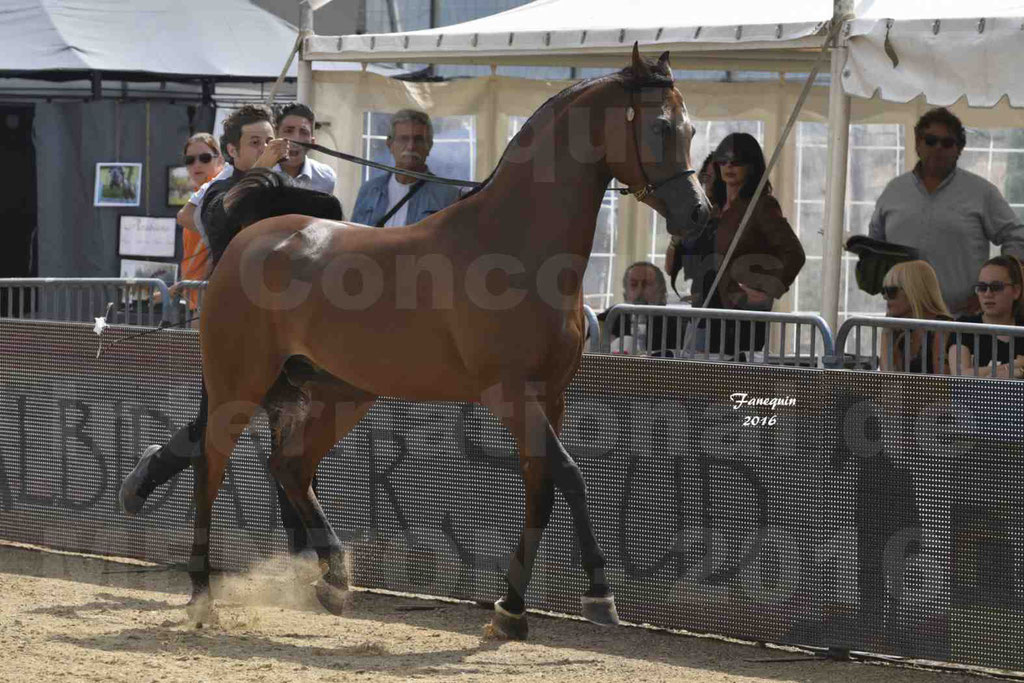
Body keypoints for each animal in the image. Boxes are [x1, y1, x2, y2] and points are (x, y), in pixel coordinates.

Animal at [188, 48, 708, 643]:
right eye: (661, 127)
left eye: (691, 128)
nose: (699, 215)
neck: (514, 246)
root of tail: (247, 239)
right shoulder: (509, 395)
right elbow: (572, 477)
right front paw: (599, 593)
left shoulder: (550, 396)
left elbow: (542, 491)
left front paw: (510, 612)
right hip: (238, 385)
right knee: (210, 467)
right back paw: (202, 597)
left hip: (342, 392)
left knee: (290, 467)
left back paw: (334, 579)